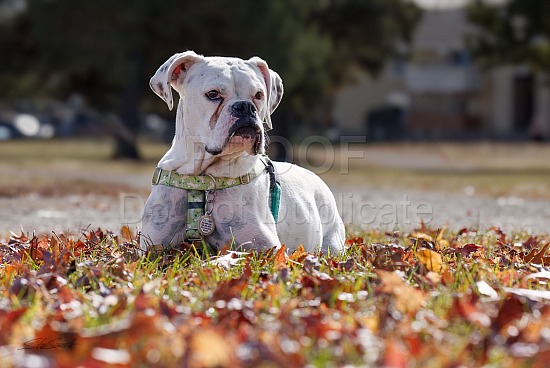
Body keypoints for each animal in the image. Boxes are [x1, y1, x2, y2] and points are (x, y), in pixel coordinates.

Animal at [140, 50, 344, 254]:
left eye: (259, 94)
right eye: (213, 94)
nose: (245, 106)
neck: (204, 180)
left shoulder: (265, 247)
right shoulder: (152, 247)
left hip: (332, 242)